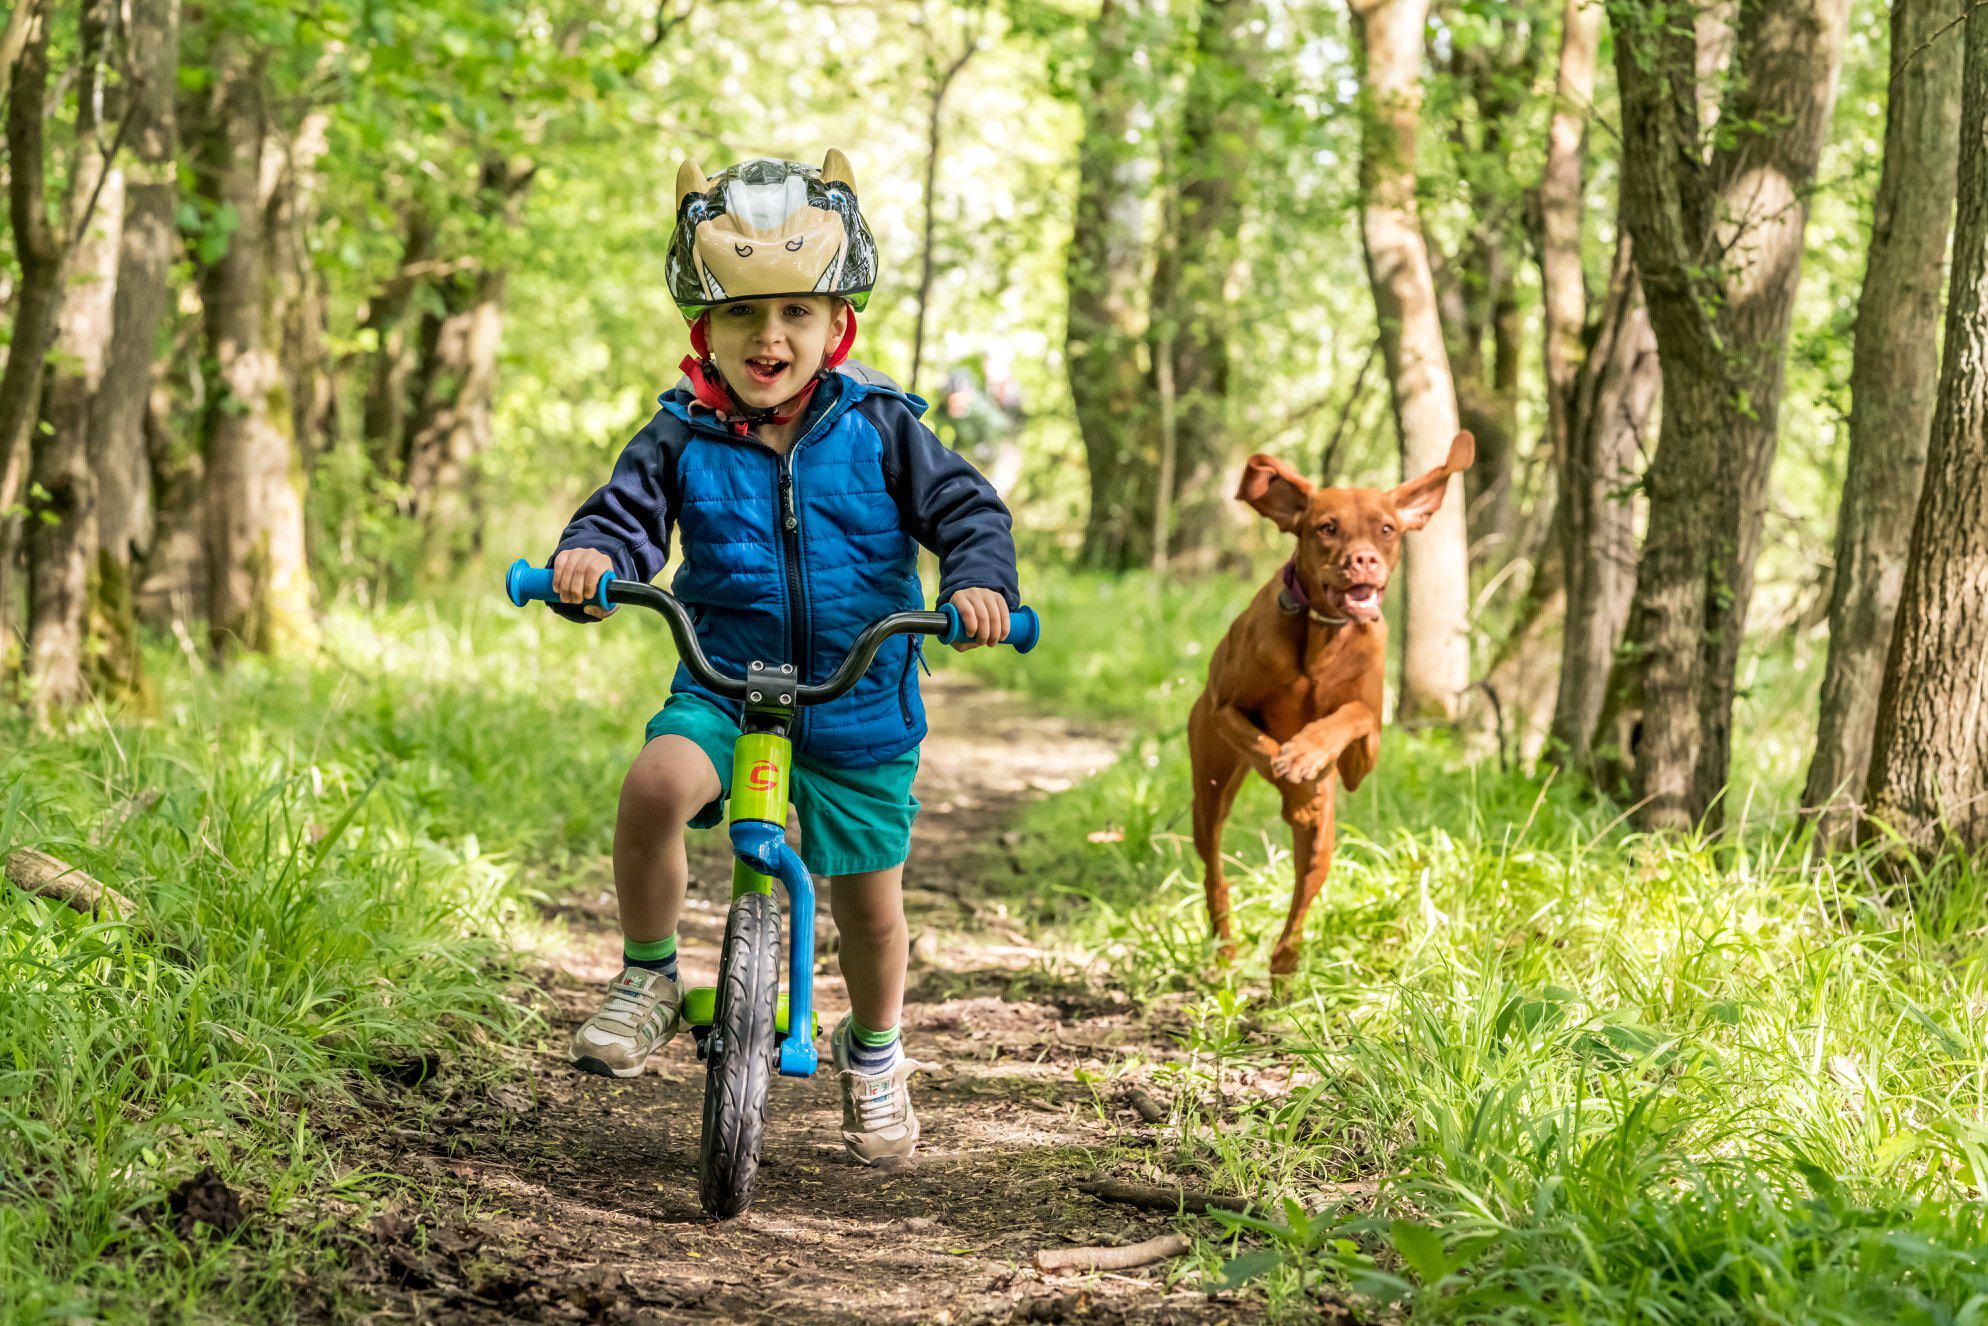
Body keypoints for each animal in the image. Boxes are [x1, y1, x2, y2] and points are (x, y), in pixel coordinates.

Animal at [1176, 435, 1479, 974]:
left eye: (1386, 528)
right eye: (1326, 527)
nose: (1363, 561)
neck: (1321, 633)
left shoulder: (1367, 748)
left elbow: (1350, 714)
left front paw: (1308, 755)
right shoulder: (1222, 707)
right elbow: (1259, 743)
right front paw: (1295, 773)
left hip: (1322, 848)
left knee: (1300, 902)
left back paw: (1285, 965)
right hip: (1209, 794)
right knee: (1214, 873)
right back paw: (1226, 949)